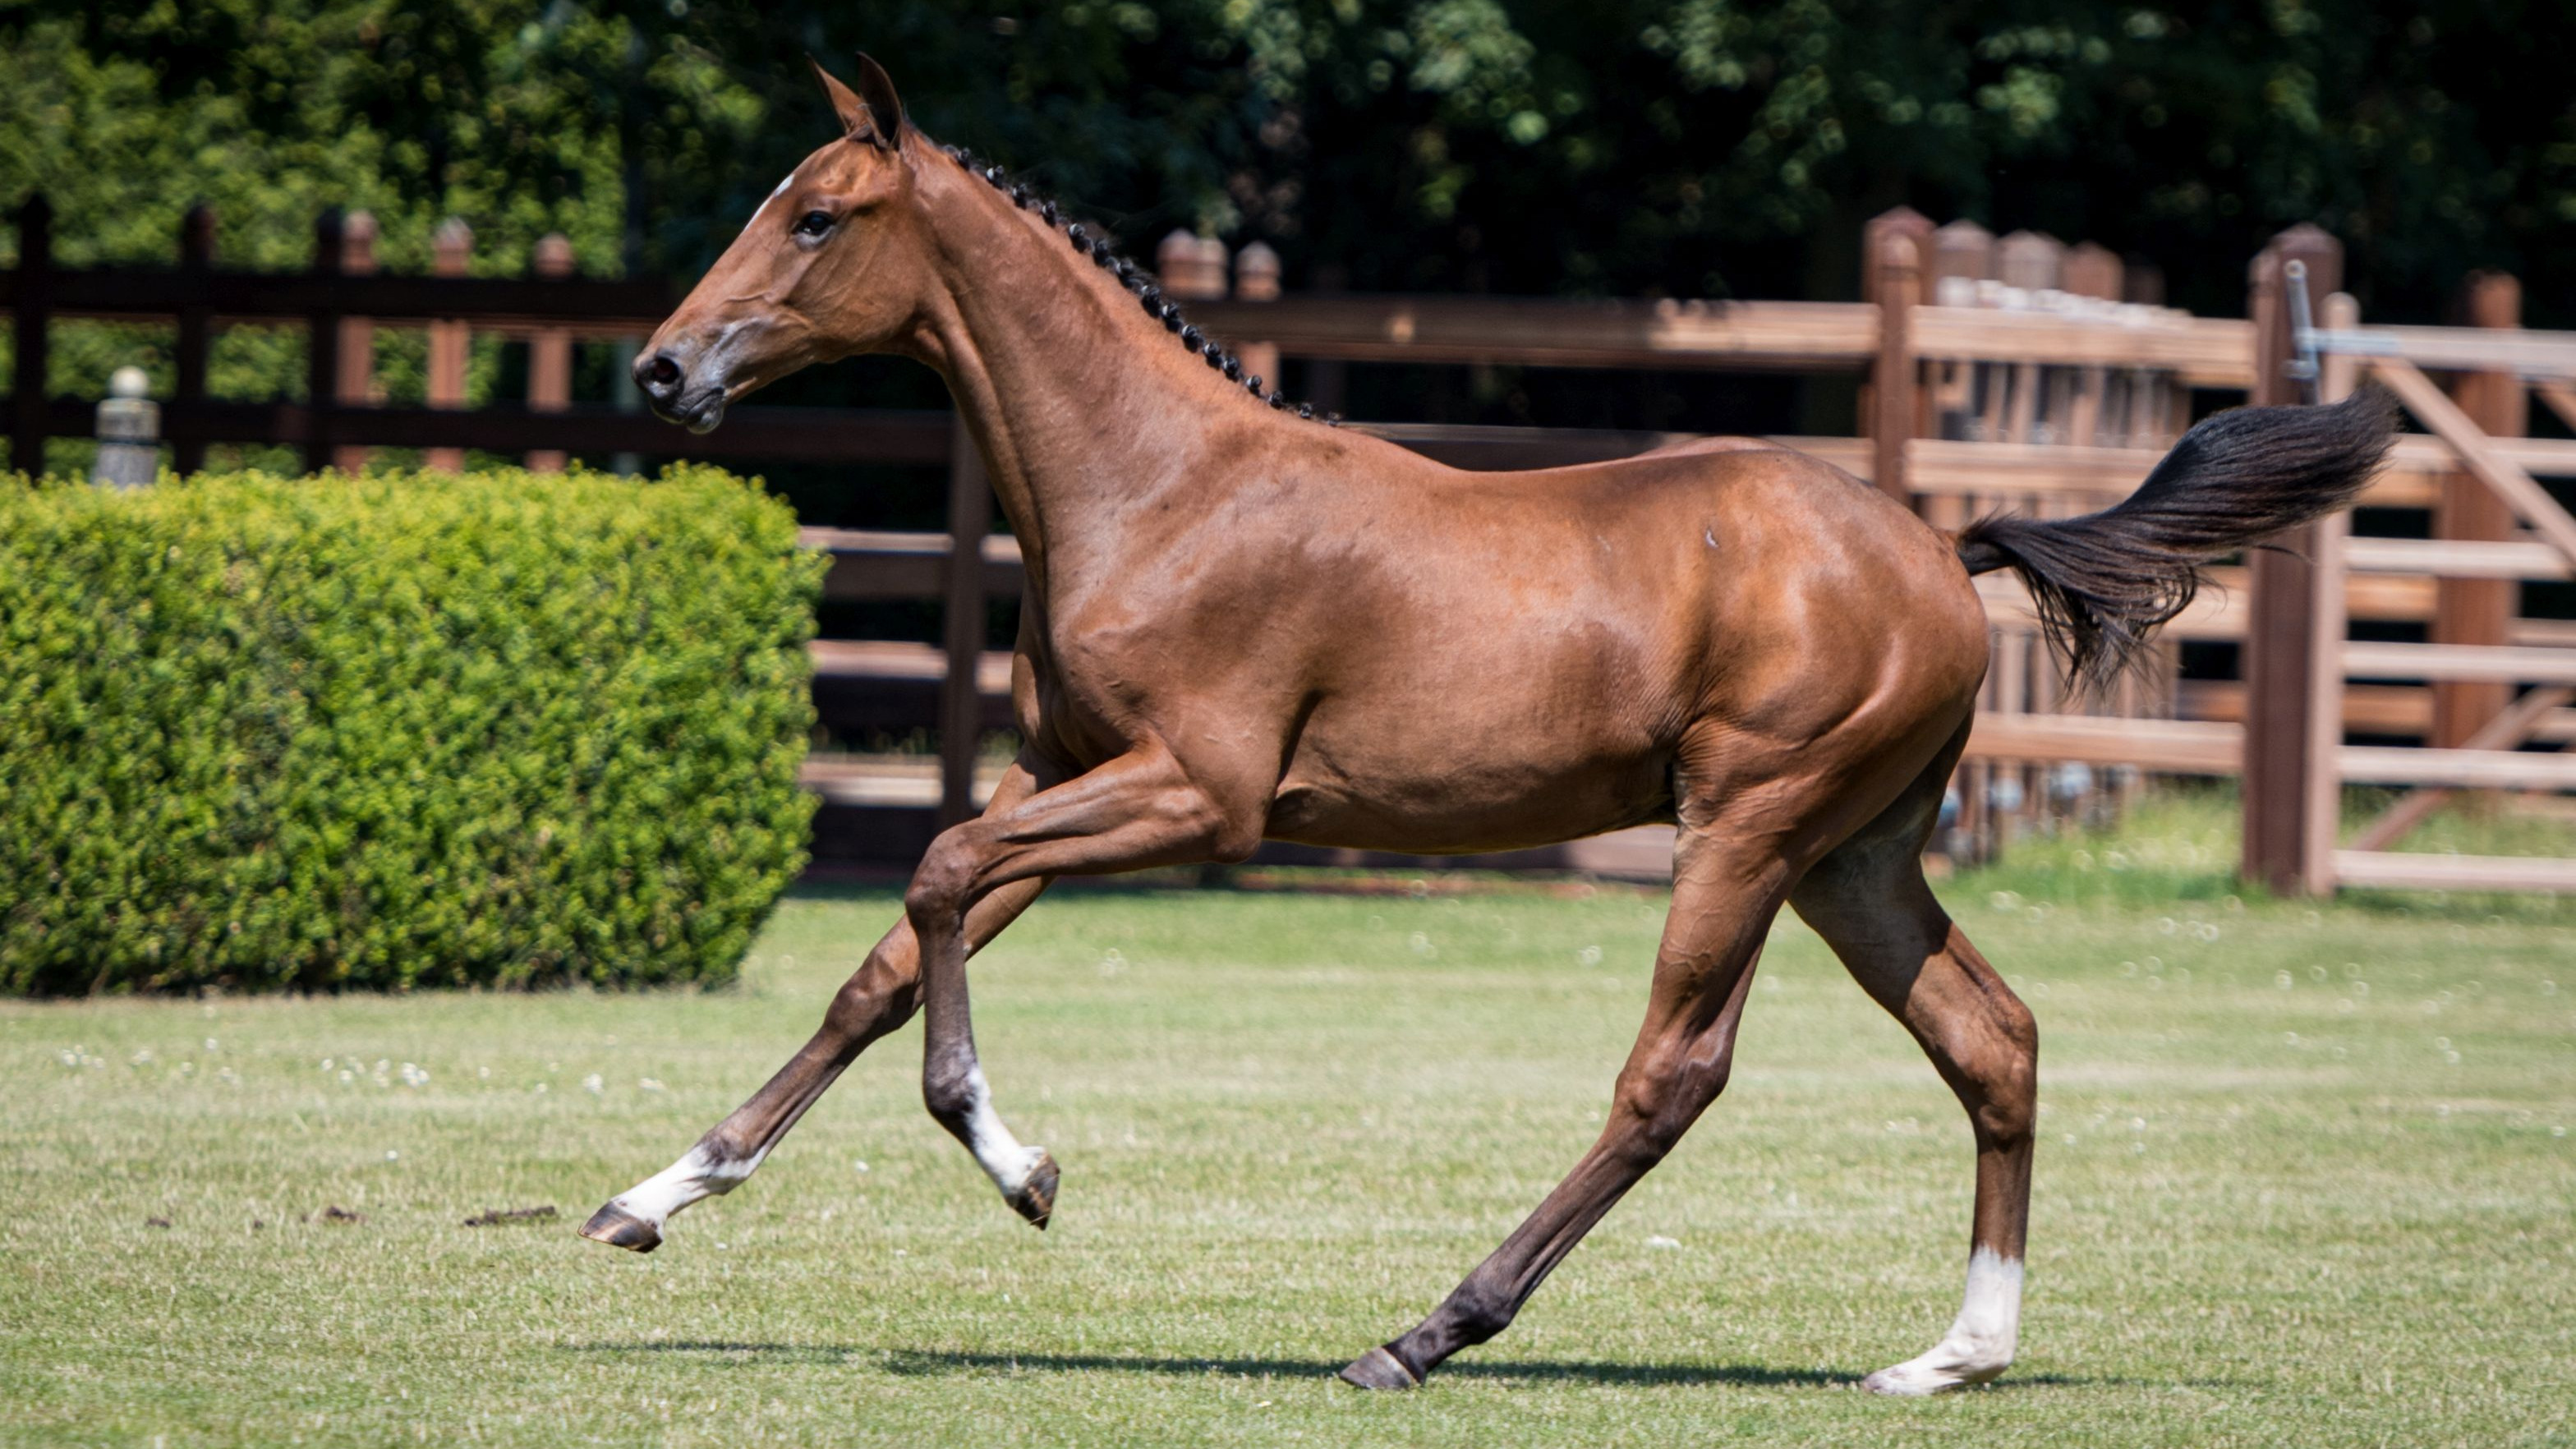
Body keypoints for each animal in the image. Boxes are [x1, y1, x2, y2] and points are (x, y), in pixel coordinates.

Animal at [579, 54, 2395, 1395]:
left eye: (816, 219)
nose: (659, 373)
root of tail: (1937, 550)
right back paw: (1952, 1353)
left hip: (1751, 824)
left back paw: (1427, 1329)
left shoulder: (1198, 797)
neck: (1161, 486)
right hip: (1856, 856)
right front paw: (655, 1194)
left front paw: (1017, 1166)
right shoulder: (1070, 769)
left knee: (1673, 1074)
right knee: (1990, 1037)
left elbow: (938, 876)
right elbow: (885, 958)